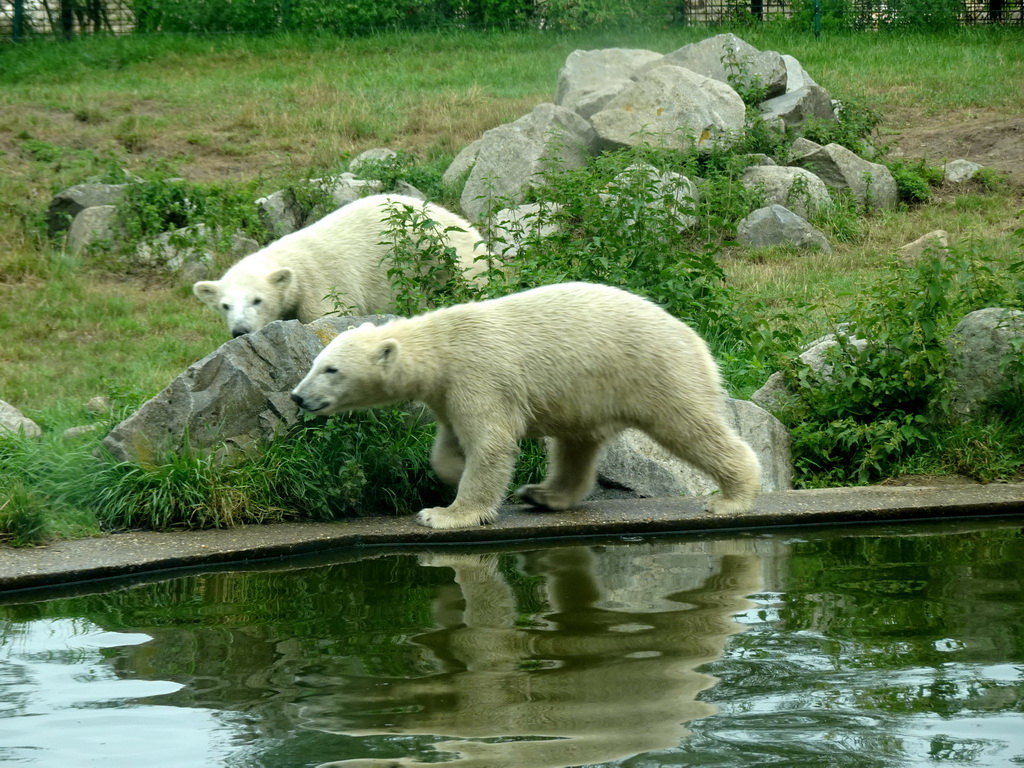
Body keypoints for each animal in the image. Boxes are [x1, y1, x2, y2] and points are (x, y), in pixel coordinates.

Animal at [192, 193, 487, 337]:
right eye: (225, 306)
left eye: (257, 300)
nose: (239, 331)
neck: (294, 264)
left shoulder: (324, 285)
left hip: (451, 265)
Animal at [288, 280, 761, 528]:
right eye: (316, 363)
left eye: (330, 369)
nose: (297, 396)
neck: (441, 346)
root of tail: (695, 338)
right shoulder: (450, 390)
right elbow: (450, 441)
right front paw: (453, 471)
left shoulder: (478, 373)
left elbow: (491, 443)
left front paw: (444, 513)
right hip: (588, 391)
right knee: (575, 444)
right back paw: (544, 494)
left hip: (653, 372)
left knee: (689, 427)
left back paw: (731, 498)